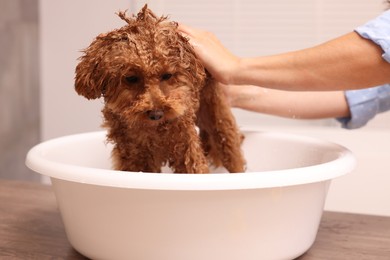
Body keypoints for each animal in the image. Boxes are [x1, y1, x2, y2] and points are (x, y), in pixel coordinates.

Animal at [74, 4, 245, 173]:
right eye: (131, 78)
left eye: (167, 75)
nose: (156, 114)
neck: (153, 131)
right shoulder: (136, 156)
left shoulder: (185, 148)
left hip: (217, 116)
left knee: (229, 146)